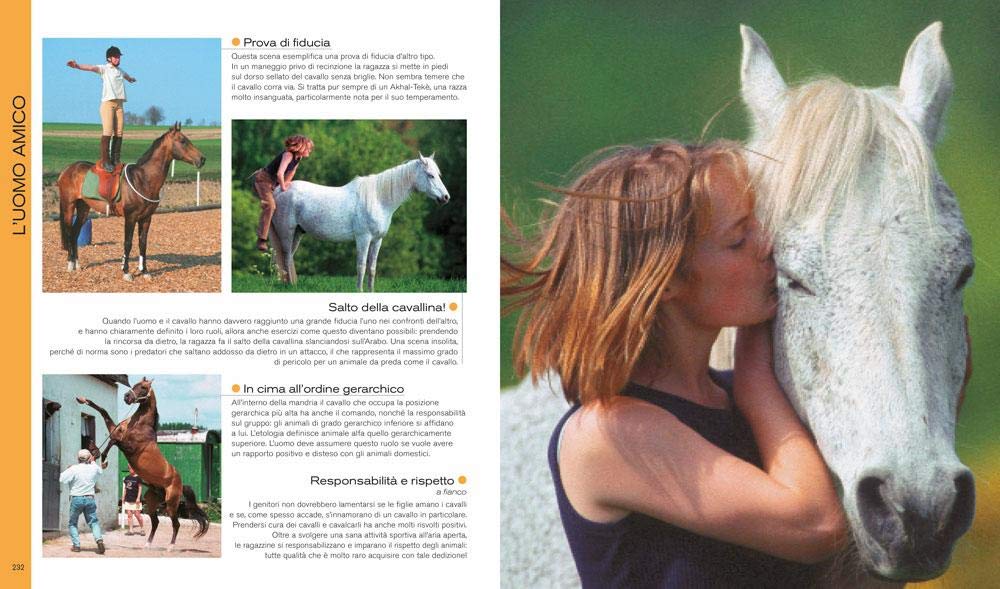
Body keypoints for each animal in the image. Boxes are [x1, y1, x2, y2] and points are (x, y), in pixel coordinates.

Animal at [57, 122, 206, 281]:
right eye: (183, 141)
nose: (202, 159)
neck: (143, 179)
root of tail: (67, 170)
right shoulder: (130, 217)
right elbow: (128, 243)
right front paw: (126, 271)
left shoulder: (146, 218)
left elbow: (143, 243)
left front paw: (144, 271)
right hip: (68, 206)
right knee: (69, 233)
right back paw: (70, 264)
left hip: (83, 208)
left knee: (75, 233)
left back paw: (77, 265)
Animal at [76, 378, 209, 548]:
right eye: (134, 385)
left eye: (144, 387)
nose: (126, 397)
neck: (139, 425)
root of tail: (180, 483)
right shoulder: (116, 430)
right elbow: (103, 412)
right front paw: (83, 400)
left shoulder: (128, 446)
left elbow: (114, 440)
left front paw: (102, 458)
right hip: (152, 502)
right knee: (155, 522)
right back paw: (147, 544)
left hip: (171, 504)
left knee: (176, 523)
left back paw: (170, 547)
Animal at [268, 153, 450, 291]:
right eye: (430, 175)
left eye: (438, 174)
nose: (445, 197)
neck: (378, 199)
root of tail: (278, 191)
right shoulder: (364, 238)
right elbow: (361, 266)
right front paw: (359, 290)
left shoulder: (377, 240)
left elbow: (372, 268)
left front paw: (371, 291)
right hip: (287, 232)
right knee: (285, 257)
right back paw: (288, 286)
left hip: (298, 233)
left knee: (288, 257)